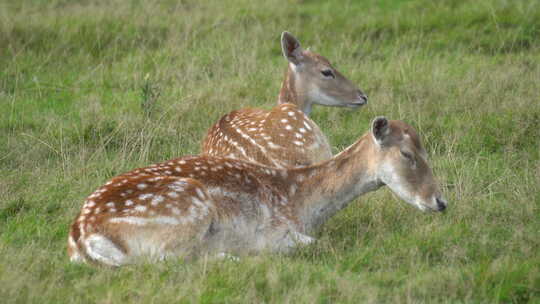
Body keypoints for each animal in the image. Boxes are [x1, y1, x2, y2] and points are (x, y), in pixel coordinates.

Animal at [68, 117, 448, 268]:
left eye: (427, 150)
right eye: (407, 154)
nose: (440, 201)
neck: (299, 202)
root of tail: (82, 235)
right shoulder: (277, 228)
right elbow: (309, 244)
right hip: (186, 208)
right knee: (166, 259)